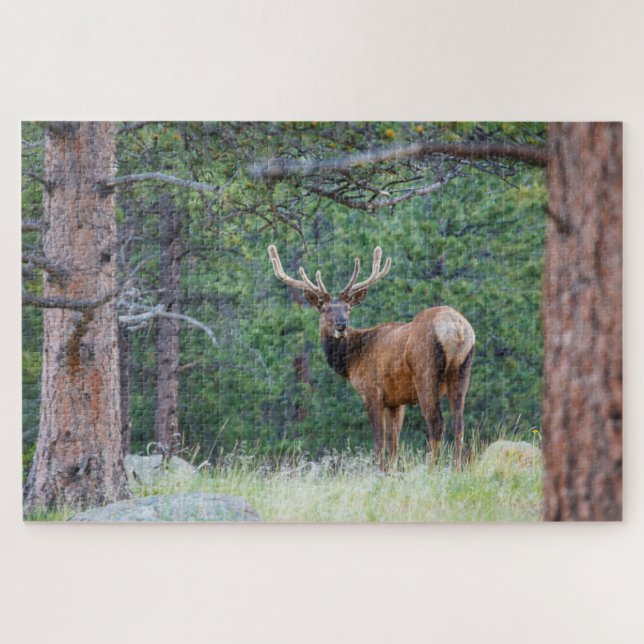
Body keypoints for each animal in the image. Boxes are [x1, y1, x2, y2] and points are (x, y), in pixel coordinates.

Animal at [267, 245, 475, 471]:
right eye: (325, 309)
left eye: (348, 308)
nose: (342, 324)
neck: (353, 361)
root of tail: (457, 329)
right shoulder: (396, 401)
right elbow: (394, 444)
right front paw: (392, 471)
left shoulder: (371, 391)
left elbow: (379, 442)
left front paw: (381, 472)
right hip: (462, 373)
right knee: (460, 425)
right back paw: (457, 469)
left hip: (426, 373)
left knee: (436, 424)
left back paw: (431, 470)